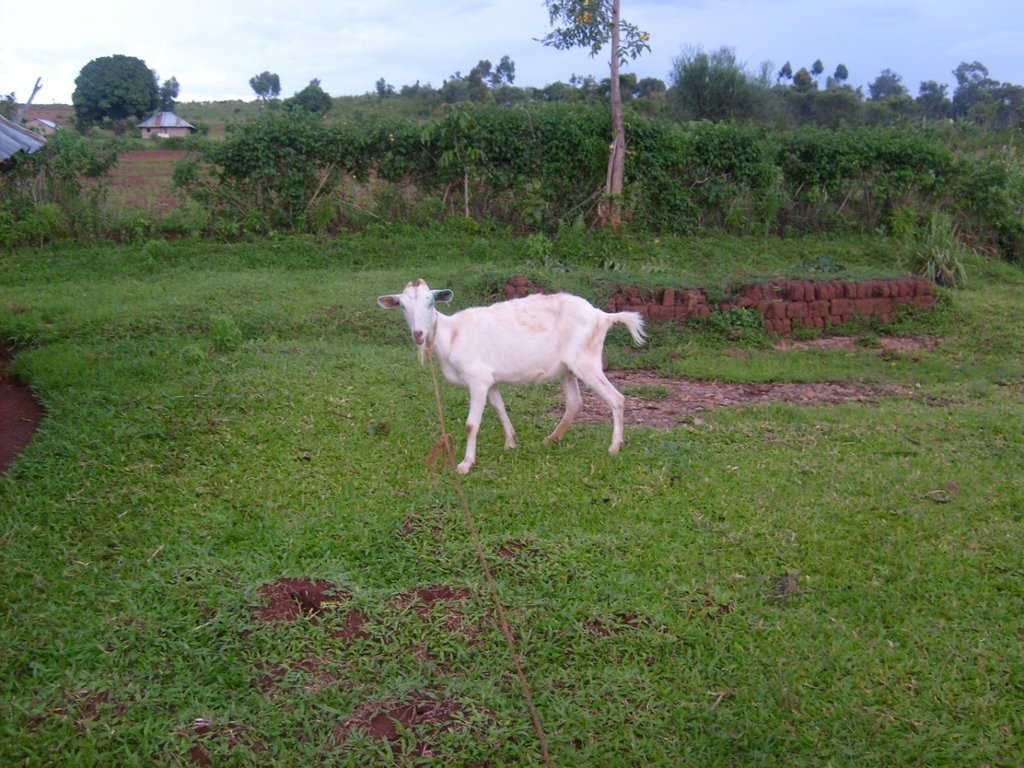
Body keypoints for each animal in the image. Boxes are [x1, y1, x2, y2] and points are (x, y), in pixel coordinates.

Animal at [377, 279, 646, 474]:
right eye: (402, 305)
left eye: (430, 302)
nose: (418, 334)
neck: (451, 335)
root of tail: (603, 316)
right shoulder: (490, 379)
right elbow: (500, 407)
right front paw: (511, 442)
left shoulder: (477, 378)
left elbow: (471, 424)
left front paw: (465, 465)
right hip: (567, 368)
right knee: (574, 402)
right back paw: (552, 439)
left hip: (586, 361)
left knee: (616, 398)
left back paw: (613, 447)